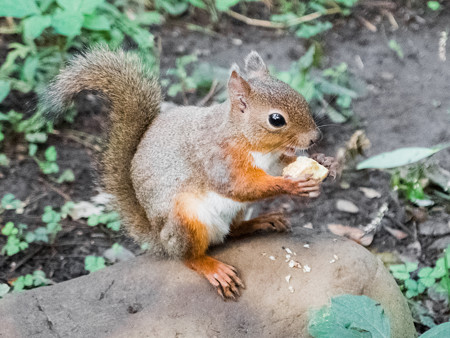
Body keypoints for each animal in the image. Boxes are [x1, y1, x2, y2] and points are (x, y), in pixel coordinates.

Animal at [42, 46, 330, 298]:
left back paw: (263, 221)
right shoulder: (218, 160)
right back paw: (214, 269)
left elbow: (281, 164)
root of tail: (161, 240)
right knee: (189, 257)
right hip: (186, 220)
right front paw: (292, 185)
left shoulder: (271, 161)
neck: (249, 141)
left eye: (301, 97)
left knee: (232, 231)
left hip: (232, 213)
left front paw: (323, 162)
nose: (316, 138)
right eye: (276, 119)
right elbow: (240, 186)